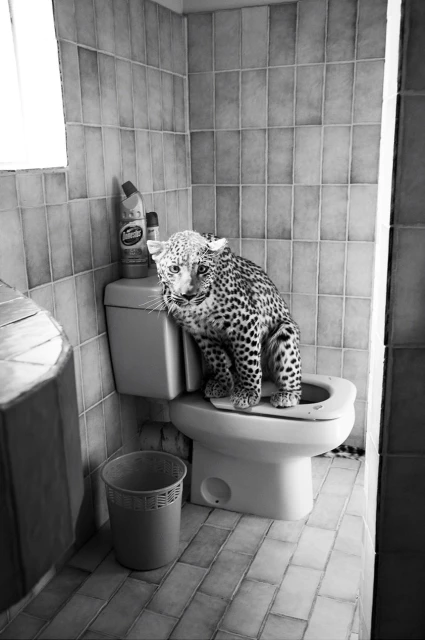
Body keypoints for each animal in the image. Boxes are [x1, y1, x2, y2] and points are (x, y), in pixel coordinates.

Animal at [147, 230, 302, 410]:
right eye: (174, 268)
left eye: (202, 269)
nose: (188, 295)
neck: (199, 308)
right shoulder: (200, 333)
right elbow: (216, 359)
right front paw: (223, 384)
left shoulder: (245, 321)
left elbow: (247, 360)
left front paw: (248, 392)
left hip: (286, 333)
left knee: (292, 376)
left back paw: (287, 394)